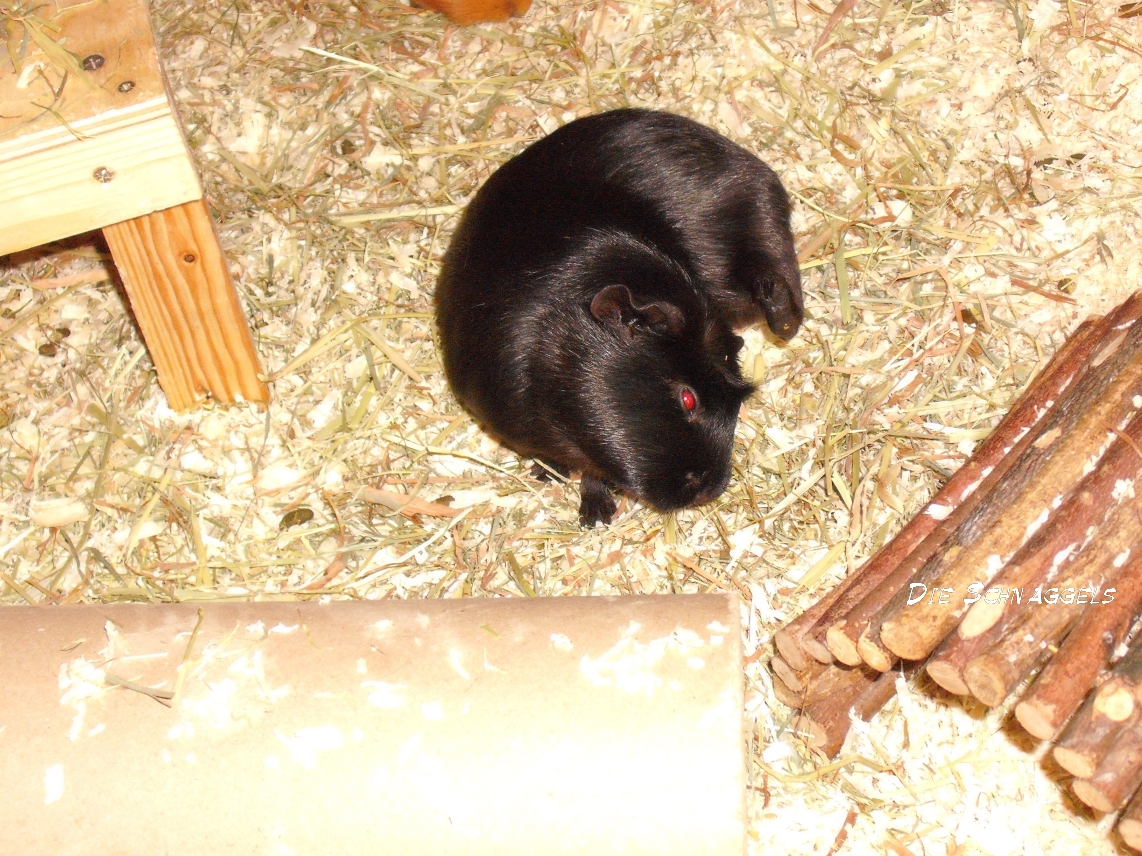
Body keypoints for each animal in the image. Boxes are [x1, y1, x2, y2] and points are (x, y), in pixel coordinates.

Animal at [434, 108, 802, 526]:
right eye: (687, 398)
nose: (709, 490)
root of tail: (757, 172)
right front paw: (579, 503)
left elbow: (594, 474)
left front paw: (595, 517)